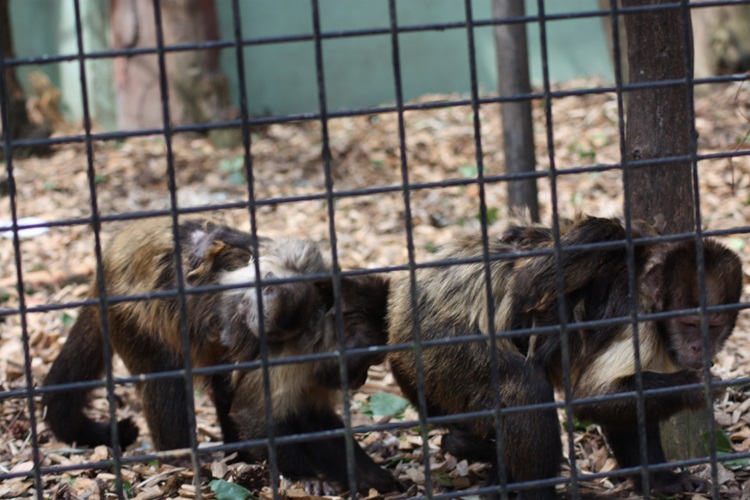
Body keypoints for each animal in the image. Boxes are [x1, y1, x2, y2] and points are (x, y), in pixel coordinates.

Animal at [43, 217, 402, 494]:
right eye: (367, 362)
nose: (360, 380)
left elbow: (314, 420)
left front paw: (370, 476)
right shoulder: (287, 354)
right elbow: (254, 418)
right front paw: (306, 476)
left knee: (223, 379)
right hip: (131, 314)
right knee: (169, 378)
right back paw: (181, 456)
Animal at [390, 216, 744, 500]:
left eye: (714, 326)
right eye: (690, 324)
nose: (700, 348)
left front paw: (662, 480)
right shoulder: (638, 321)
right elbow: (592, 397)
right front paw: (695, 388)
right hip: (441, 341)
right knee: (525, 387)